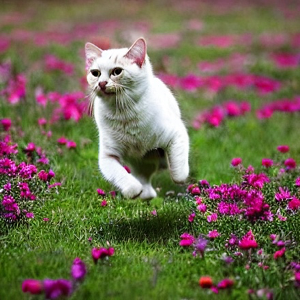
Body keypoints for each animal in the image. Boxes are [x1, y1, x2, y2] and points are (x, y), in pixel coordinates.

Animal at [84, 37, 189, 200]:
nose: (101, 83)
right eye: (95, 73)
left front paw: (179, 177)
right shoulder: (107, 156)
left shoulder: (176, 134)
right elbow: (120, 174)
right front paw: (134, 191)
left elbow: (178, 170)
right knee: (145, 181)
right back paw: (145, 193)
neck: (123, 112)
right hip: (142, 162)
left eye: (117, 71)